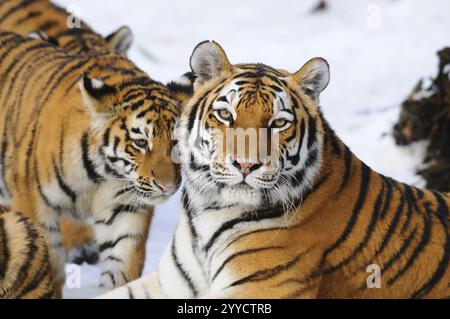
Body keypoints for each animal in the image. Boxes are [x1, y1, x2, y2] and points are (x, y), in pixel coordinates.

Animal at [0, 31, 182, 298]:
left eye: (176, 142)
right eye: (140, 142)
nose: (167, 186)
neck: (101, 173)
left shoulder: (125, 211)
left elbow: (122, 265)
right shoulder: (34, 203)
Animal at [101, 42, 450, 300]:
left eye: (279, 123)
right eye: (226, 115)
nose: (245, 164)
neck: (208, 211)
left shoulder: (255, 287)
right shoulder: (170, 283)